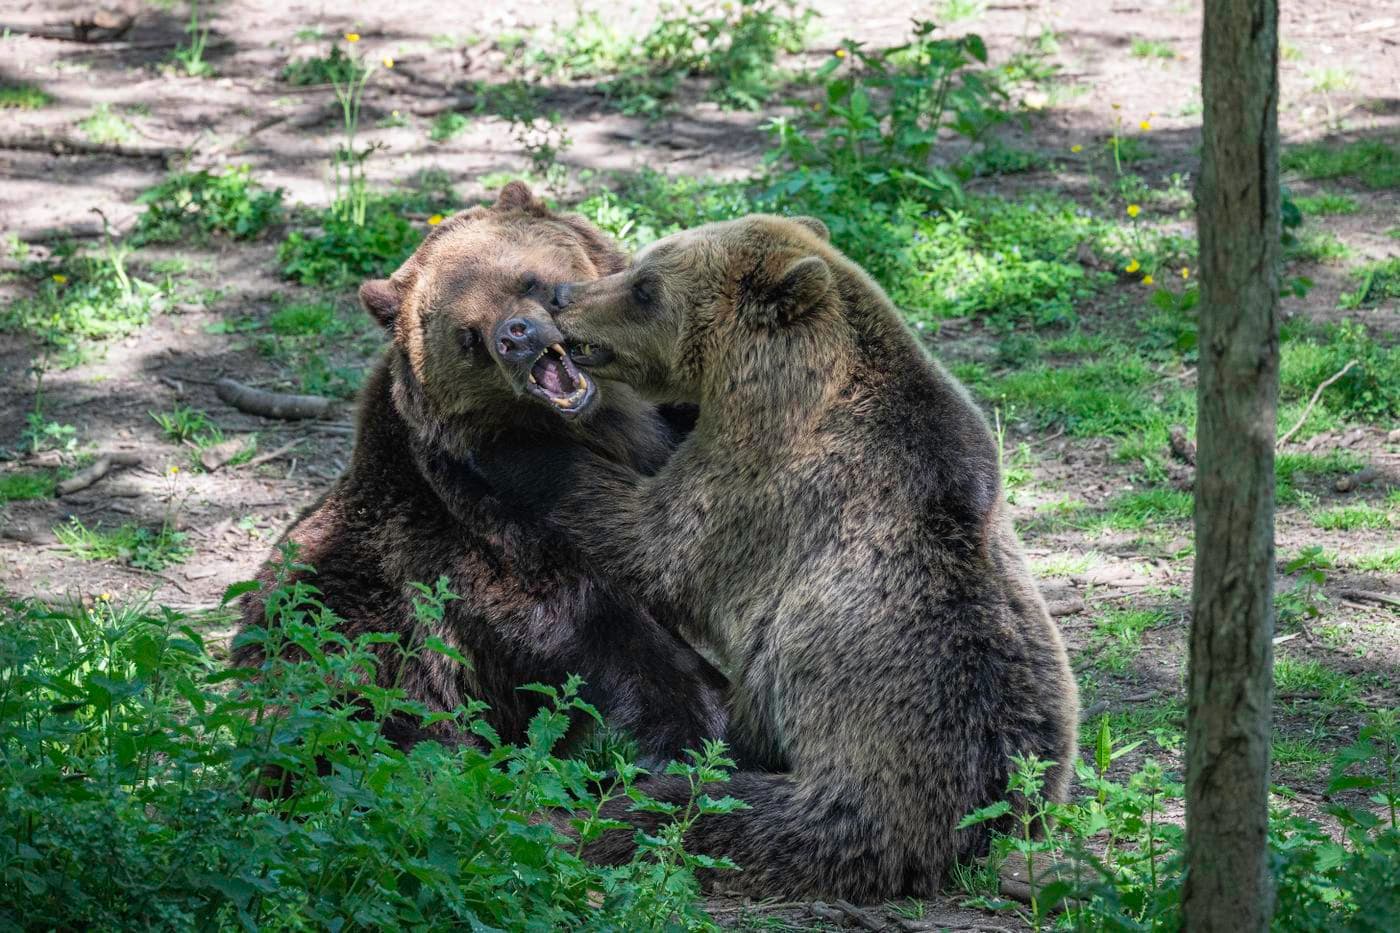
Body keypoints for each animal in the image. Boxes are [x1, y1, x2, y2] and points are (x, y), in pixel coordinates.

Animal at [232, 182, 729, 766]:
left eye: (528, 279)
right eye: (467, 337)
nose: (516, 336)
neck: (603, 427)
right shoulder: (486, 524)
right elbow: (602, 628)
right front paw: (705, 728)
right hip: (342, 642)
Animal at [489, 213, 1081, 900]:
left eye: (645, 287)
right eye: (637, 265)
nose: (561, 297)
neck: (771, 384)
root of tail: (968, 821)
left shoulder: (766, 489)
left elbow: (654, 541)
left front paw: (513, 445)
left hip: (818, 728)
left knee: (706, 802)